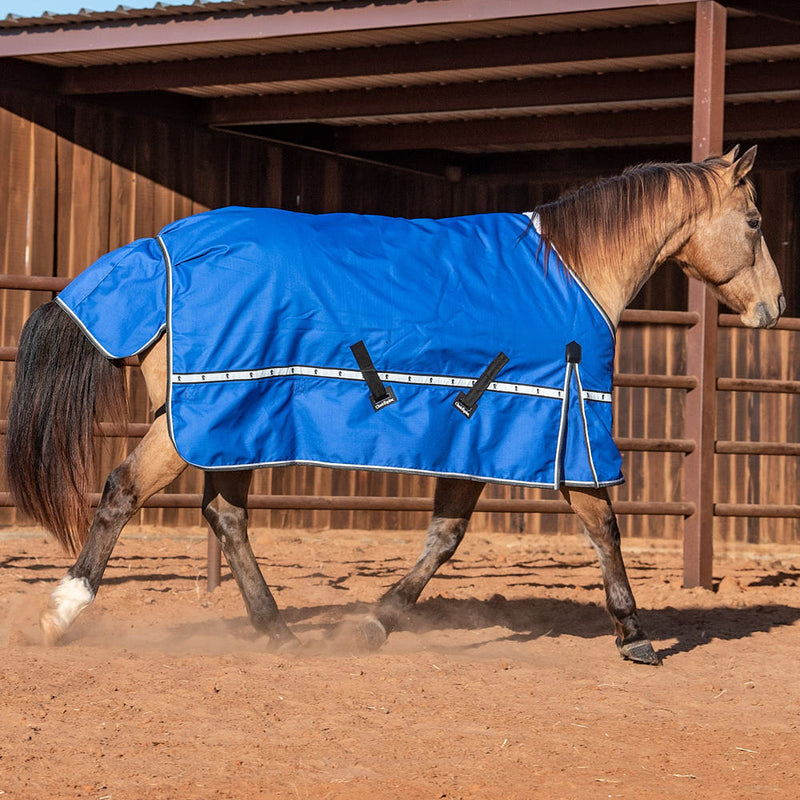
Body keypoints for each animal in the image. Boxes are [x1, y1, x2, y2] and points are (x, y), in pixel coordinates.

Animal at [4, 144, 784, 665]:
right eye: (753, 221)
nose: (774, 308)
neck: (572, 271)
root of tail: (159, 248)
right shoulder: (564, 427)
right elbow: (605, 529)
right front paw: (636, 636)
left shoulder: (478, 431)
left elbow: (444, 537)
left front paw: (375, 622)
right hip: (204, 418)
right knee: (122, 490)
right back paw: (62, 612)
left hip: (231, 423)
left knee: (225, 517)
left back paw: (278, 631)